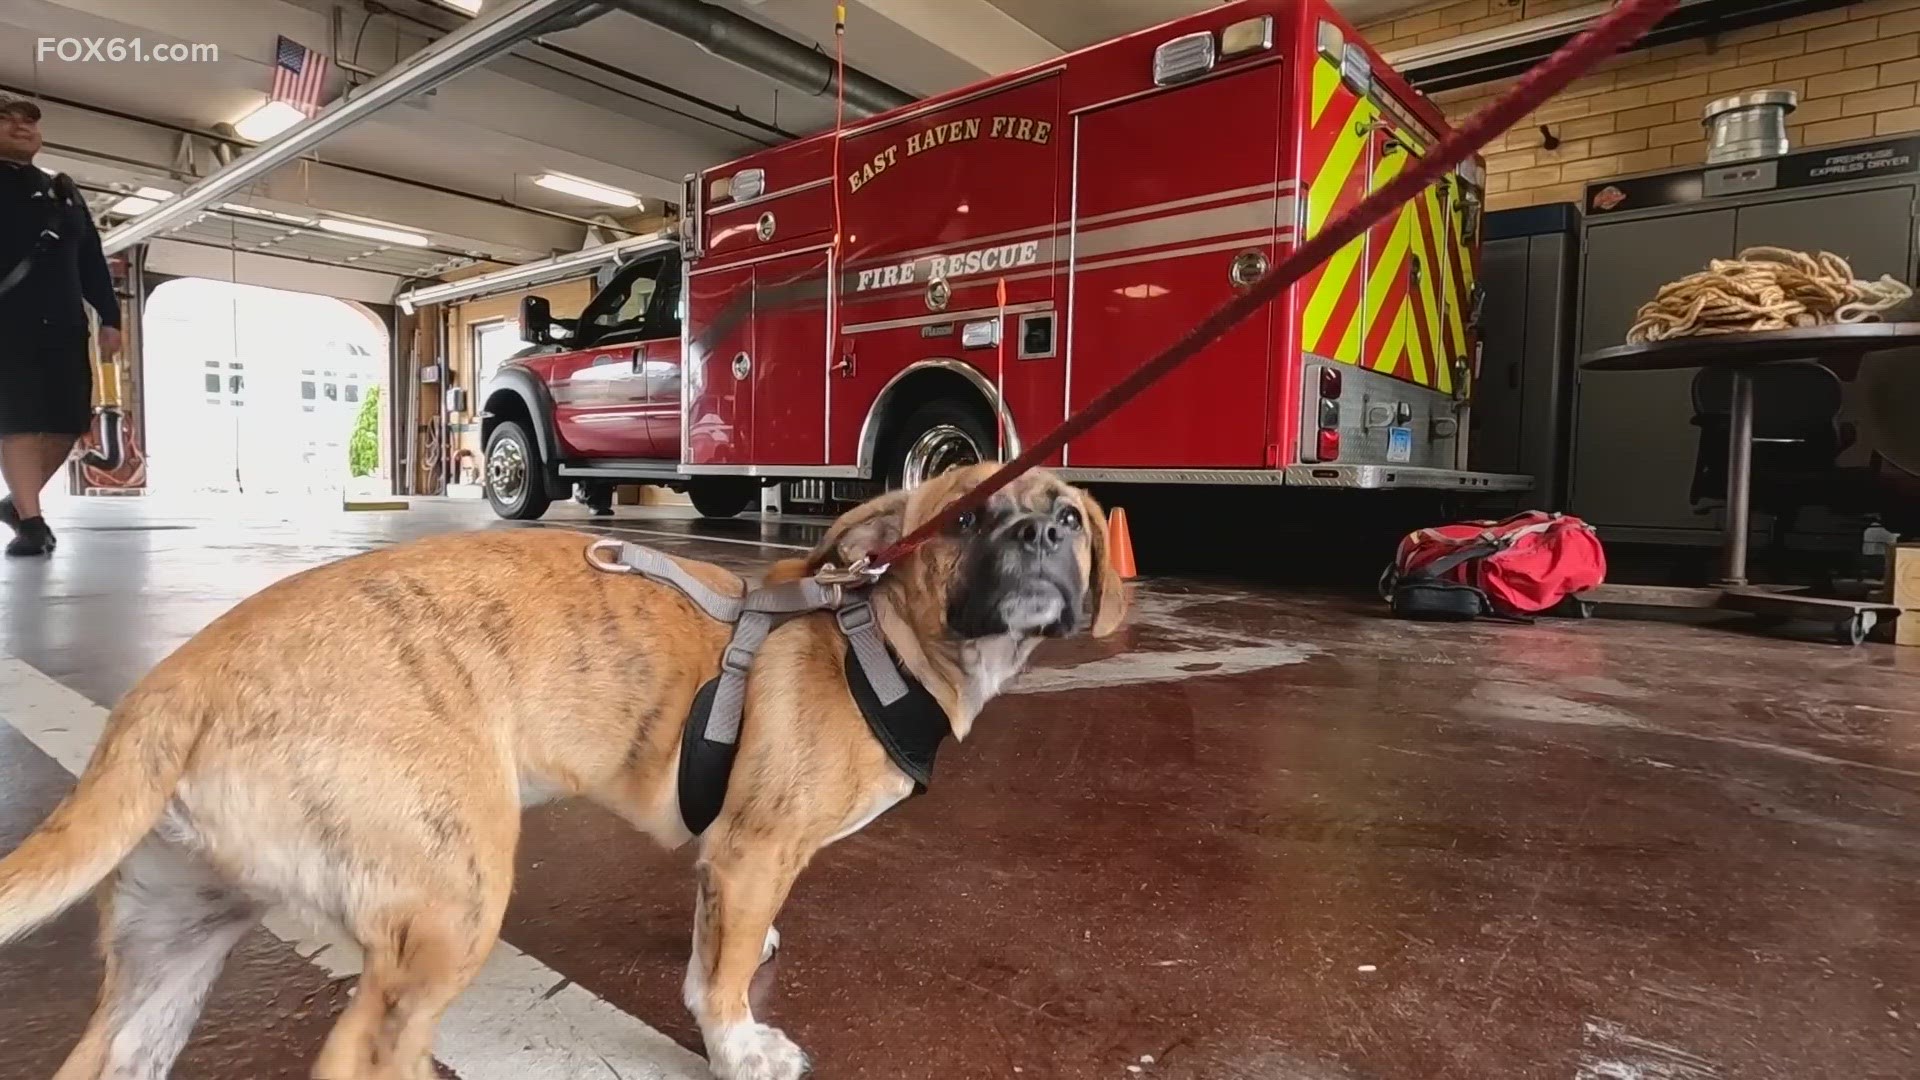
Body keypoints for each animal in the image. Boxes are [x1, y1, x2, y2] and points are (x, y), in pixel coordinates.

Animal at [0, 463, 1128, 1076]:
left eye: (1070, 517)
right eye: (969, 516)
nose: (1040, 532)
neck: (877, 635)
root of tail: (172, 688)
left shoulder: (728, 867)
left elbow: (713, 955)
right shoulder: (756, 850)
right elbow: (724, 987)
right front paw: (742, 1048)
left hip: (169, 956)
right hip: (451, 903)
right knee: (363, 1056)